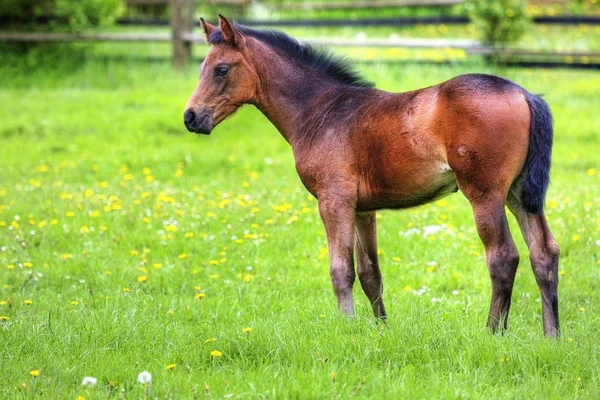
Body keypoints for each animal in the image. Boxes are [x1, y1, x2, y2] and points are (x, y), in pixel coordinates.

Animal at [184, 14, 564, 338]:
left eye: (221, 69)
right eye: (202, 67)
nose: (191, 117)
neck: (321, 111)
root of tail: (524, 94)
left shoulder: (333, 200)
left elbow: (341, 270)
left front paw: (346, 329)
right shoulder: (363, 209)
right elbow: (371, 274)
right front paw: (381, 332)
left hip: (485, 194)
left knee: (503, 256)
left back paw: (492, 333)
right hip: (519, 195)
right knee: (543, 253)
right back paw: (552, 337)